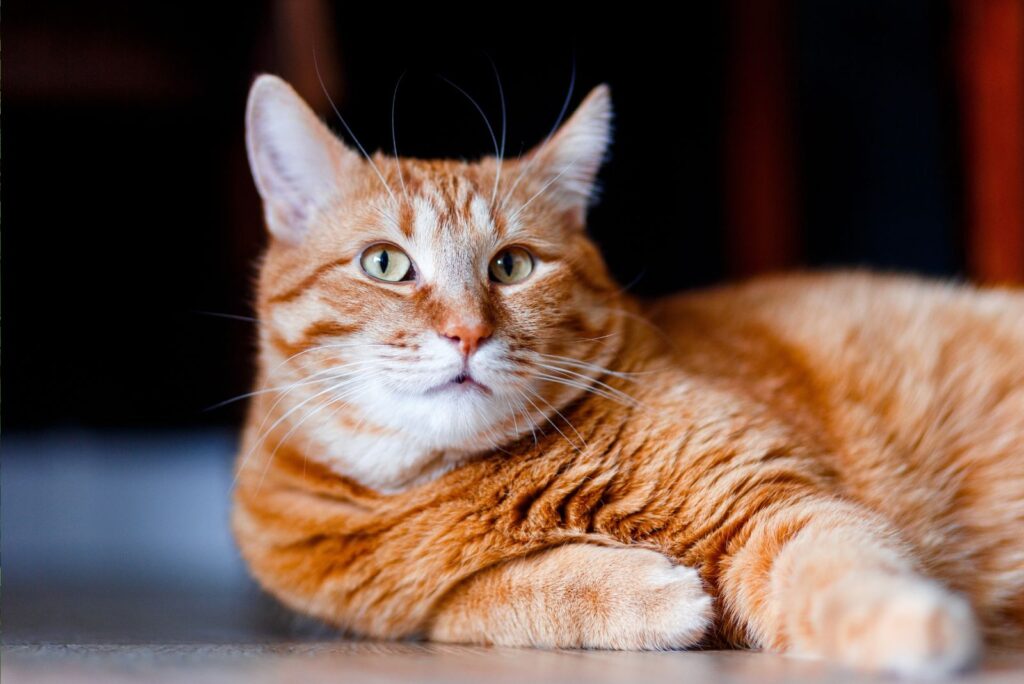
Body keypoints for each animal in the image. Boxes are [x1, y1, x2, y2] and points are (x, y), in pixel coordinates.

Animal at [232, 72, 1024, 675]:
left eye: (511, 266)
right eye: (385, 263)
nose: (467, 333)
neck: (455, 484)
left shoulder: (769, 499)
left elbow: (837, 571)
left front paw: (914, 625)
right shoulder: (417, 613)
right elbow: (489, 596)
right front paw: (639, 593)